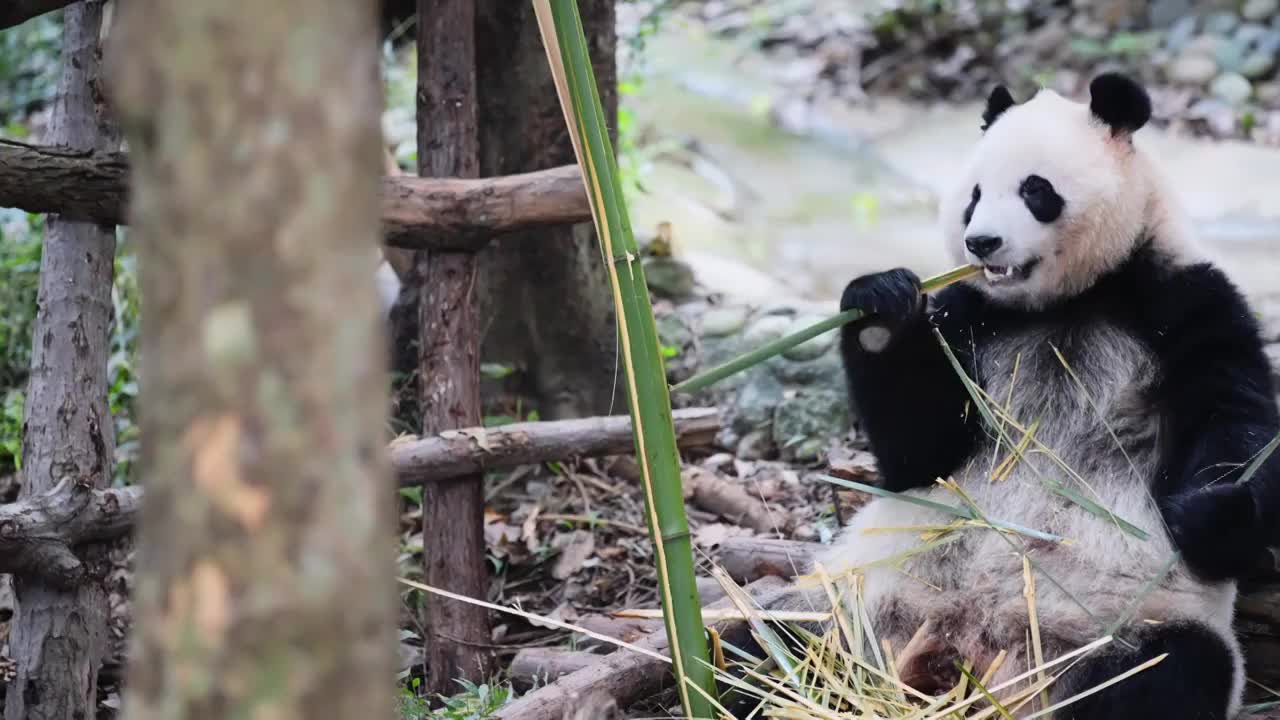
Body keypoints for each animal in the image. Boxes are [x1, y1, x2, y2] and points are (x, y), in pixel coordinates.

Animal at [742, 74, 1280, 717]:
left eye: (1035, 190)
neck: (1066, 303)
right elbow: (918, 452)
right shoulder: (966, 320)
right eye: (973, 196)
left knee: (1170, 671)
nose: (981, 242)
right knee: (767, 638)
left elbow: (1235, 419)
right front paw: (879, 307)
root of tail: (969, 661)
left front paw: (1209, 509)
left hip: (1124, 626)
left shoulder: (1185, 302)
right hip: (851, 596)